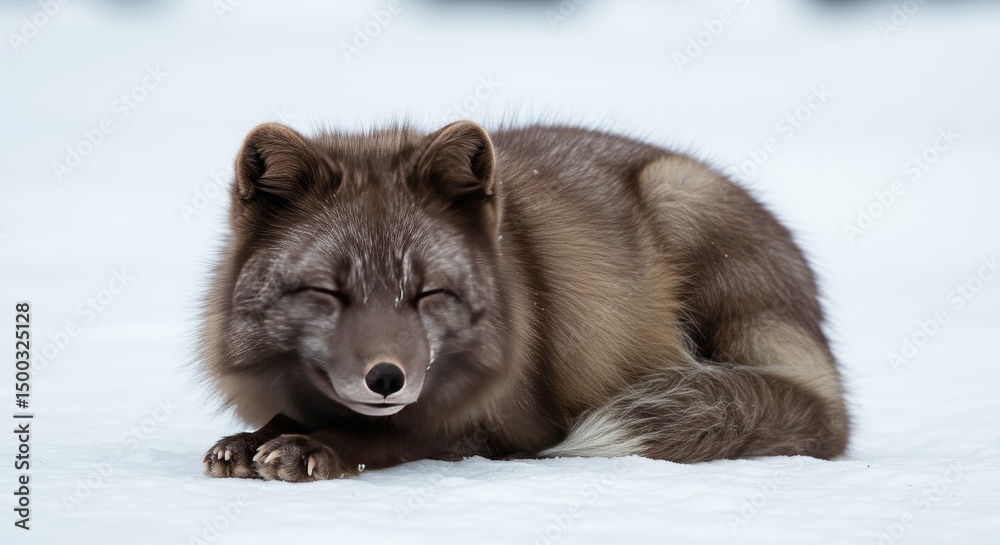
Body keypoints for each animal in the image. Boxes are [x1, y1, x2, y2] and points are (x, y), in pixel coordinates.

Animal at [201, 120, 849, 482]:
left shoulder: (506, 425)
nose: (386, 378)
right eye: (329, 291)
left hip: (679, 199)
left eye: (430, 293)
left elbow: (390, 435)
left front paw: (308, 447)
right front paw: (251, 441)